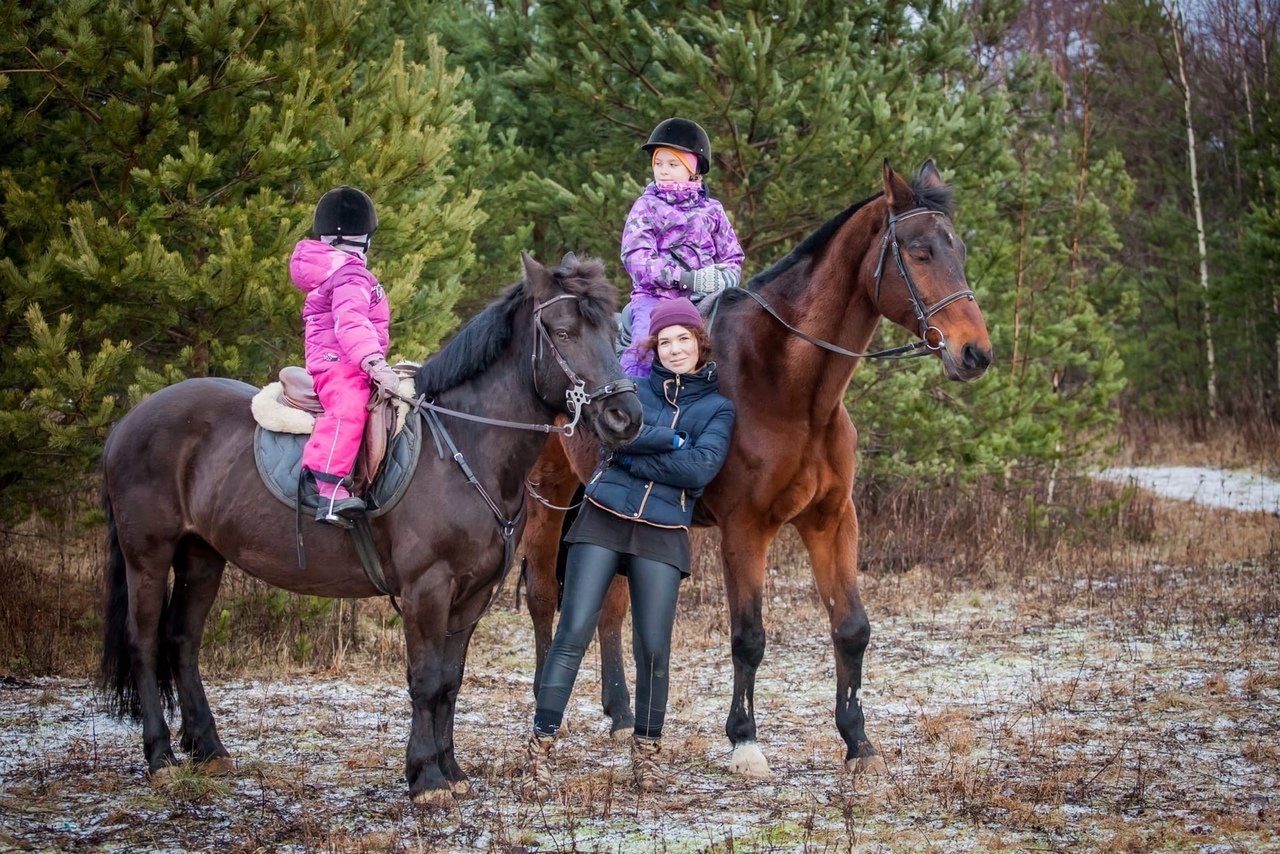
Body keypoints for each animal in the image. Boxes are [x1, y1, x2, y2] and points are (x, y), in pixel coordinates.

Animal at [97, 250, 650, 804]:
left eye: (611, 330)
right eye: (563, 332)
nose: (625, 416)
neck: (464, 445)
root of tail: (129, 421)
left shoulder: (471, 594)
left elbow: (450, 679)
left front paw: (451, 771)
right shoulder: (427, 587)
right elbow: (425, 679)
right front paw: (426, 777)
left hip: (201, 555)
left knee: (182, 641)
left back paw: (208, 749)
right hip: (149, 555)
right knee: (144, 643)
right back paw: (161, 757)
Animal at [517, 163, 988, 778]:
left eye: (959, 249)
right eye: (919, 251)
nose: (975, 352)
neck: (791, 388)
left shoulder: (832, 520)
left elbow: (852, 628)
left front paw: (858, 742)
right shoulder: (746, 529)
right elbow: (749, 637)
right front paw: (745, 741)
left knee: (611, 608)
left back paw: (621, 714)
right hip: (547, 499)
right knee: (543, 596)